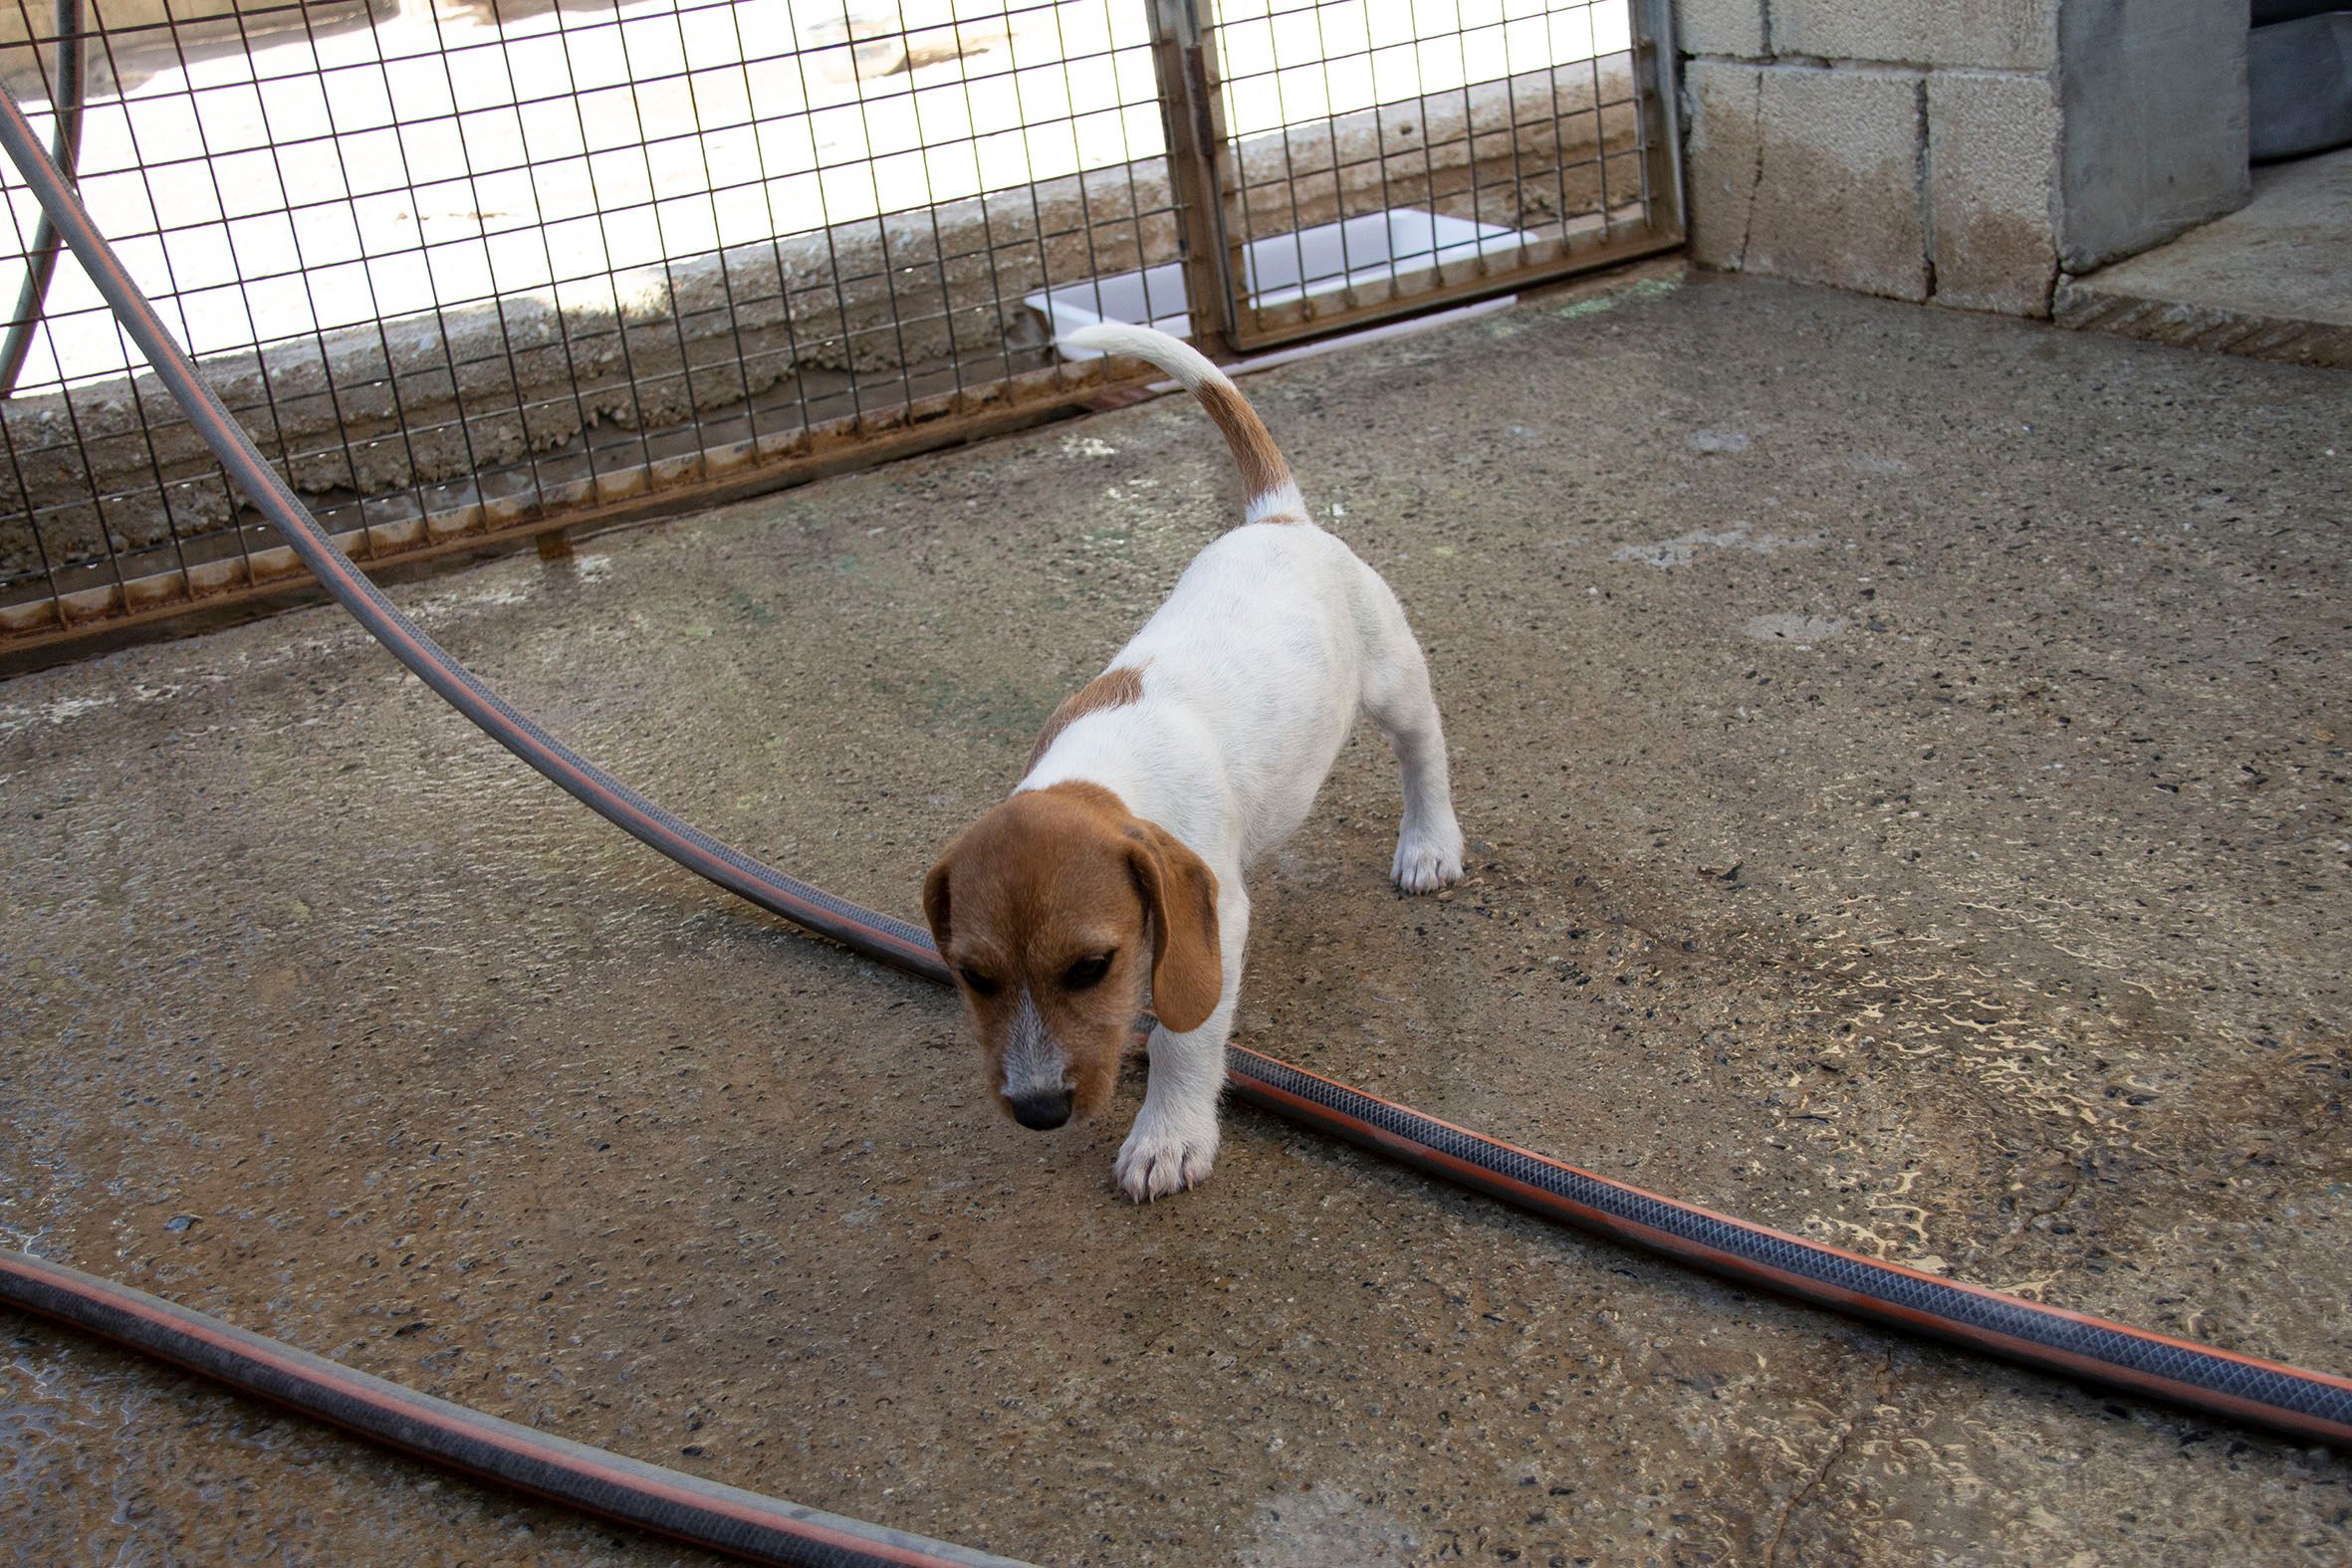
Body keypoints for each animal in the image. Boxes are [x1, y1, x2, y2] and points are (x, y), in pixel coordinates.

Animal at [922, 322, 1464, 1201]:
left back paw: (1430, 843)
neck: (1103, 771)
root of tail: (1278, 518)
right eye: (975, 976)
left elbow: (1186, 1031)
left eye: (1091, 966)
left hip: (1393, 677)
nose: (1037, 1111)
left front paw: (1167, 1135)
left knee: (1425, 750)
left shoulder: (1219, 919)